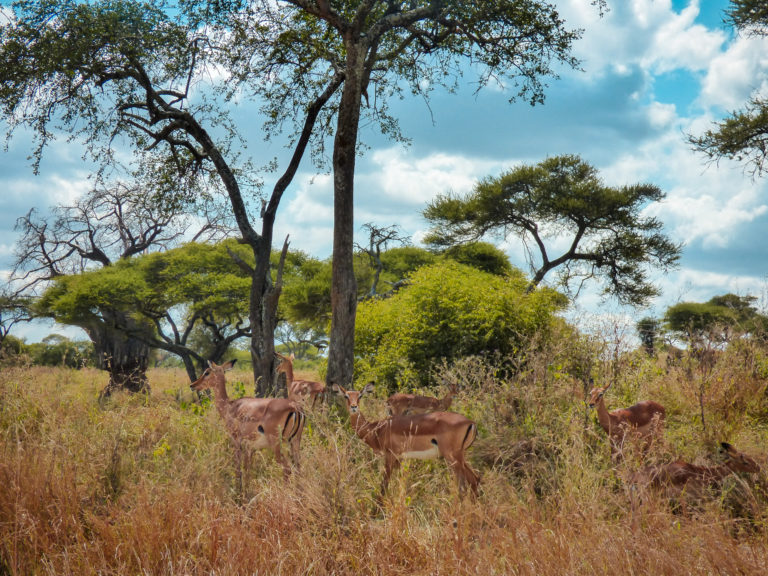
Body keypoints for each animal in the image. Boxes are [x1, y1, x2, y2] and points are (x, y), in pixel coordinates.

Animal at [190, 358, 304, 492]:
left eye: (207, 372)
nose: (192, 385)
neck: (230, 407)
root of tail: (295, 407)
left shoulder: (236, 441)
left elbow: (238, 469)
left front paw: (239, 492)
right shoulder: (251, 448)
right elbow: (248, 470)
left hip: (277, 445)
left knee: (287, 469)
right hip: (295, 442)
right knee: (298, 469)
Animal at [332, 380, 476, 498]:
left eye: (360, 396)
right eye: (346, 396)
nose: (354, 407)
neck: (377, 429)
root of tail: (471, 422)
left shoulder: (390, 456)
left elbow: (384, 486)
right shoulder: (400, 459)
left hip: (453, 458)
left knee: (467, 484)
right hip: (459, 458)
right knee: (474, 480)